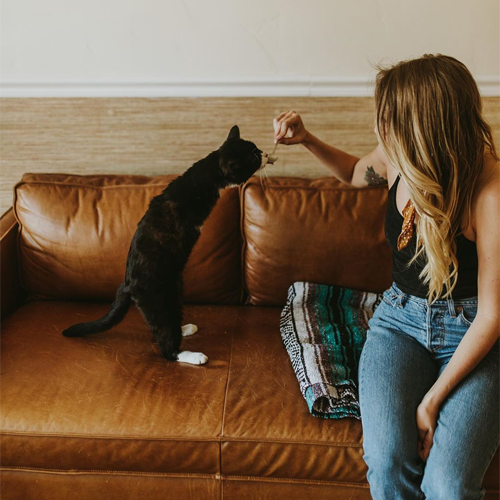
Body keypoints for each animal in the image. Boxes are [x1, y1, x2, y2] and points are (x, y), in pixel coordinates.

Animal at [64, 127, 272, 366]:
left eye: (257, 148)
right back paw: (192, 355)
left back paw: (185, 328)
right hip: (160, 297)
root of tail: (127, 283)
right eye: (254, 157)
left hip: (175, 289)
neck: (206, 170)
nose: (266, 154)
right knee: (166, 344)